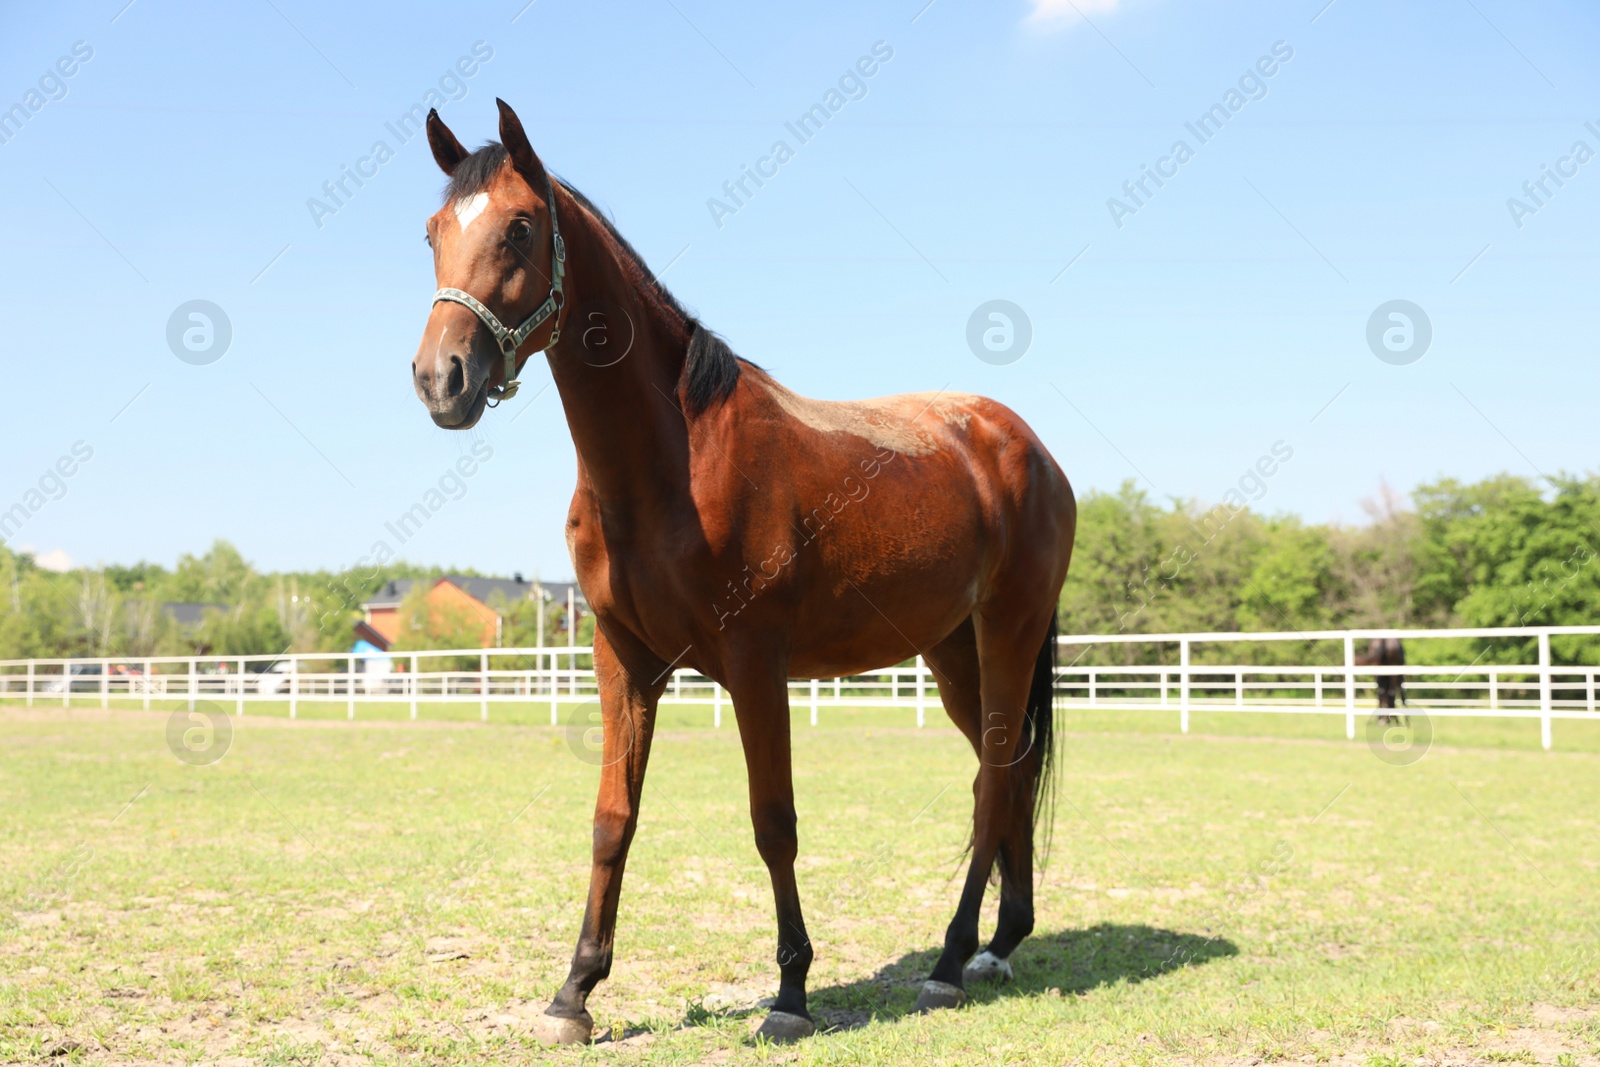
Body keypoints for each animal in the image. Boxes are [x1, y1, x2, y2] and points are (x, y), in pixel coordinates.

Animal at [412, 103, 1081, 1049]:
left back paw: (951, 962)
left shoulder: (755, 663)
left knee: (992, 778)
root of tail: (1026, 447)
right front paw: (574, 991)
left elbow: (775, 824)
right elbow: (613, 820)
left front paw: (791, 992)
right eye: (433, 232)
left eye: (519, 227)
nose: (442, 379)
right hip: (955, 652)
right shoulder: (623, 659)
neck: (677, 460)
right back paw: (1002, 941)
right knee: (1013, 768)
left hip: (1010, 629)